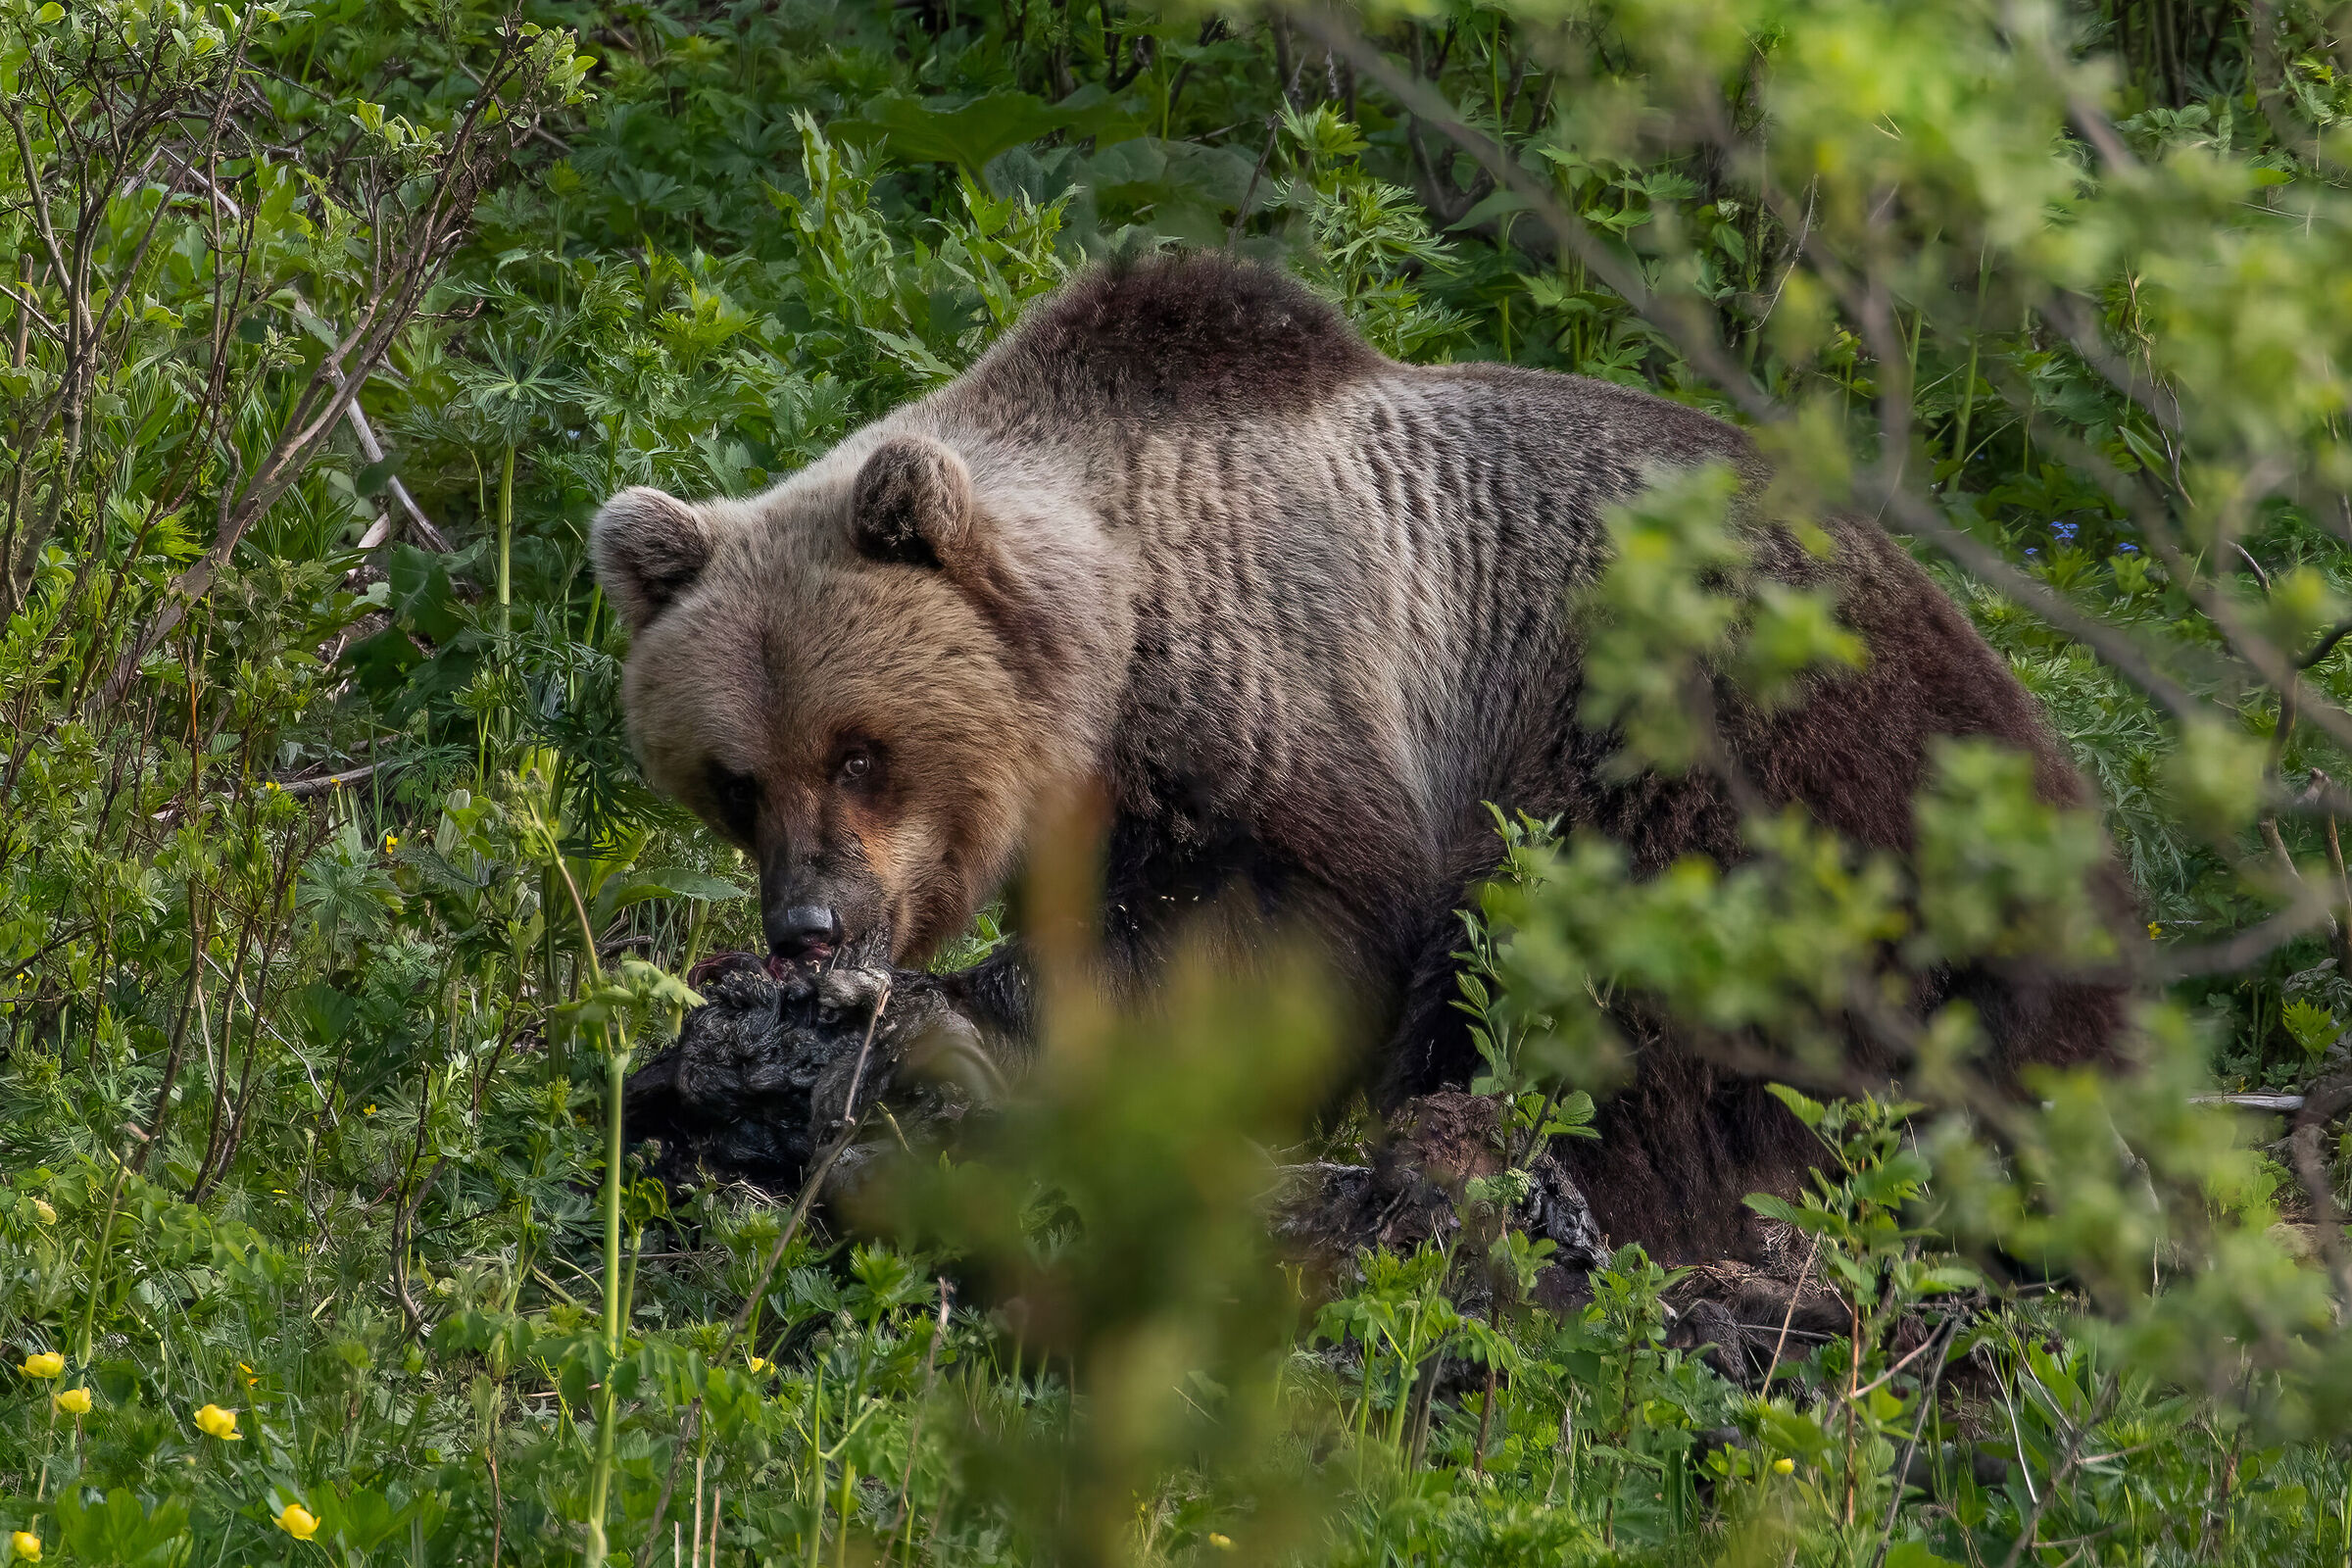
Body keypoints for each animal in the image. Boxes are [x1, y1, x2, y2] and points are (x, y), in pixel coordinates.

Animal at [592, 251, 2126, 1262]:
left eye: (861, 752)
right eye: (735, 778)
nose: (809, 925)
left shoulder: (1277, 677)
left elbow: (1279, 924)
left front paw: (953, 1028)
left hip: (1730, 746)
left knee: (1623, 1007)